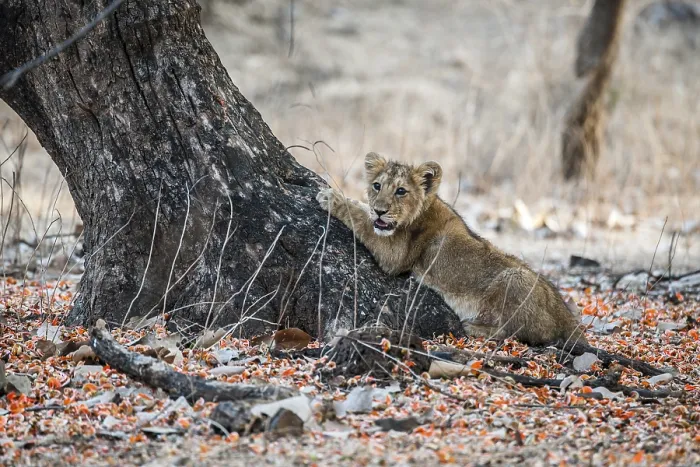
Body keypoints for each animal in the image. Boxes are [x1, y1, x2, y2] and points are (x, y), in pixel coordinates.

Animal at [317, 152, 587, 346]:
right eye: (376, 186)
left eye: (401, 191)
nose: (380, 210)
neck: (424, 209)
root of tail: (566, 316)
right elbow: (364, 214)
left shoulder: (395, 255)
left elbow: (361, 220)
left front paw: (333, 198)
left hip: (515, 277)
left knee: (522, 333)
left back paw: (474, 326)